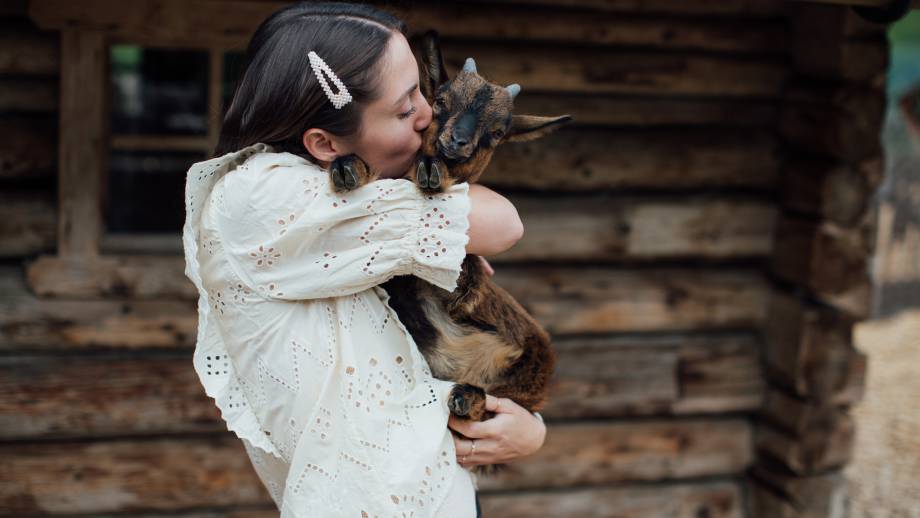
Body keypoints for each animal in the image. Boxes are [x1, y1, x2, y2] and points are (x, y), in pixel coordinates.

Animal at [328, 29, 568, 472]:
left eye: (498, 131)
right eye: (440, 100)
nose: (455, 143)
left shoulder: (458, 283)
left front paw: (431, 173)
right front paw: (350, 166)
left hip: (527, 380)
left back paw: (468, 397)